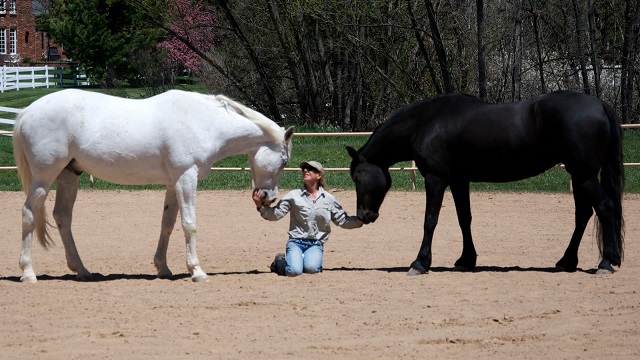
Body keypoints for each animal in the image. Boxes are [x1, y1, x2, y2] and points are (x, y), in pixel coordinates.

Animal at [13, 88, 296, 282]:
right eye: (284, 161)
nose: (269, 197)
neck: (204, 122)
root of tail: (26, 112)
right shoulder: (186, 179)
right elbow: (189, 224)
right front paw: (196, 270)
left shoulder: (173, 184)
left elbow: (167, 225)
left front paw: (163, 268)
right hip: (43, 179)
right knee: (29, 213)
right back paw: (28, 272)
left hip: (69, 175)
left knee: (63, 217)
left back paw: (82, 270)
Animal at [348, 91, 624, 274]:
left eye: (357, 177)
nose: (363, 215)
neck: (427, 123)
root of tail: (599, 104)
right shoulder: (459, 180)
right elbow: (464, 219)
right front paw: (466, 259)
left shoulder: (436, 179)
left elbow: (430, 220)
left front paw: (420, 262)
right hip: (578, 176)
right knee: (583, 215)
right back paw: (567, 261)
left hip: (585, 175)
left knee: (604, 208)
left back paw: (606, 263)